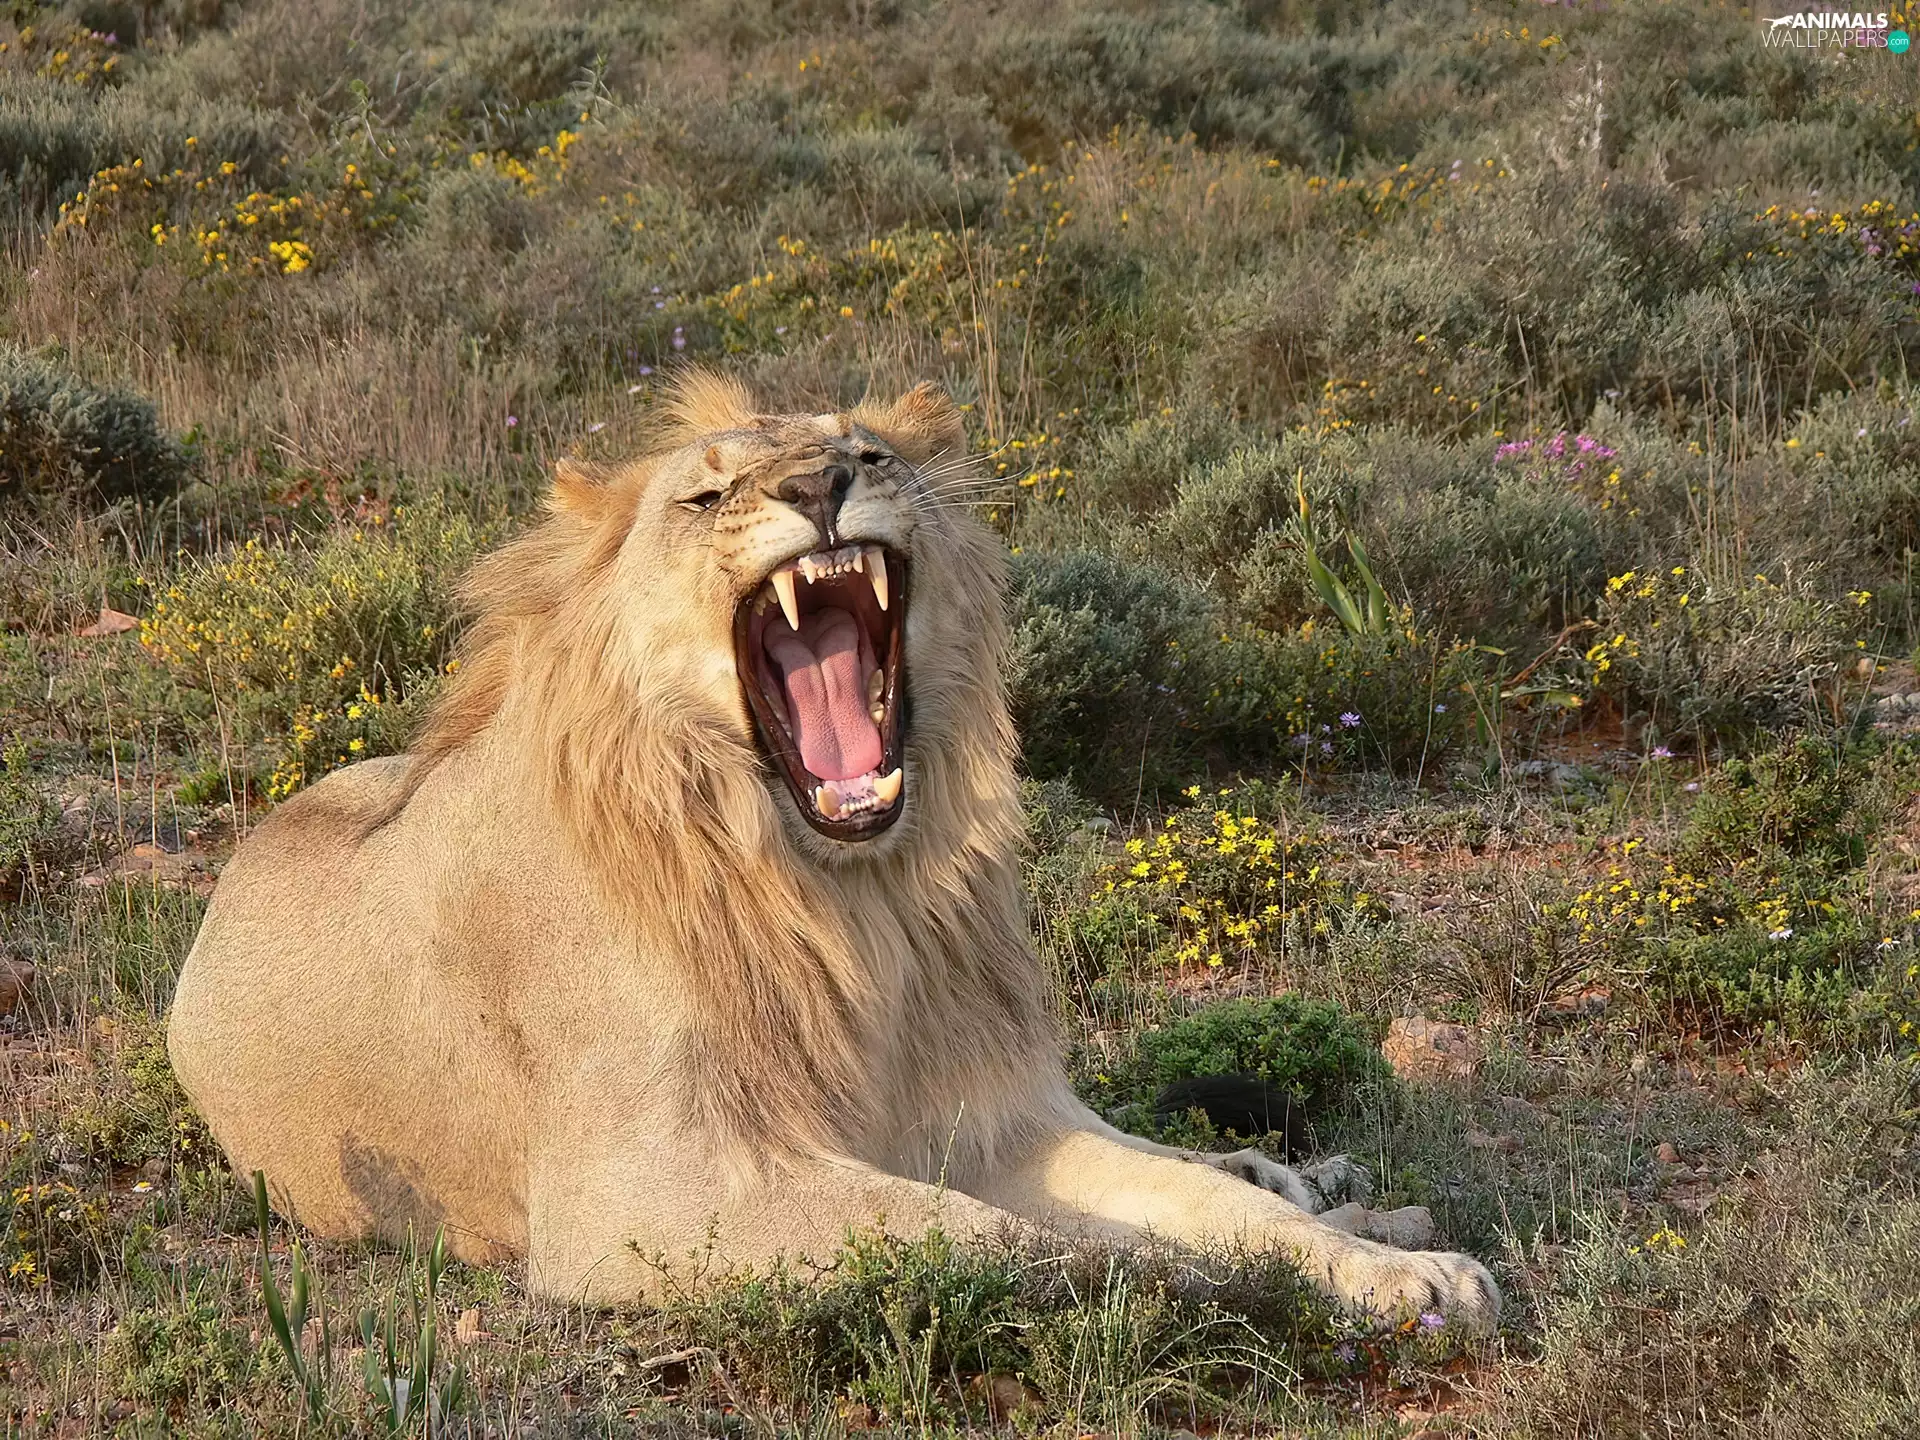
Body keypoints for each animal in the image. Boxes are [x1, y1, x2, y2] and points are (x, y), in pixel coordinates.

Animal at [166, 374, 1499, 1327]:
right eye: (704, 498)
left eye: (869, 453)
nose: (820, 486)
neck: (857, 903)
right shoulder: (644, 1196)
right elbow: (1002, 1235)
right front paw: (1206, 1282)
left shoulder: (990, 1121)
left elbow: (1196, 1202)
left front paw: (1402, 1275)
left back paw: (1338, 1194)